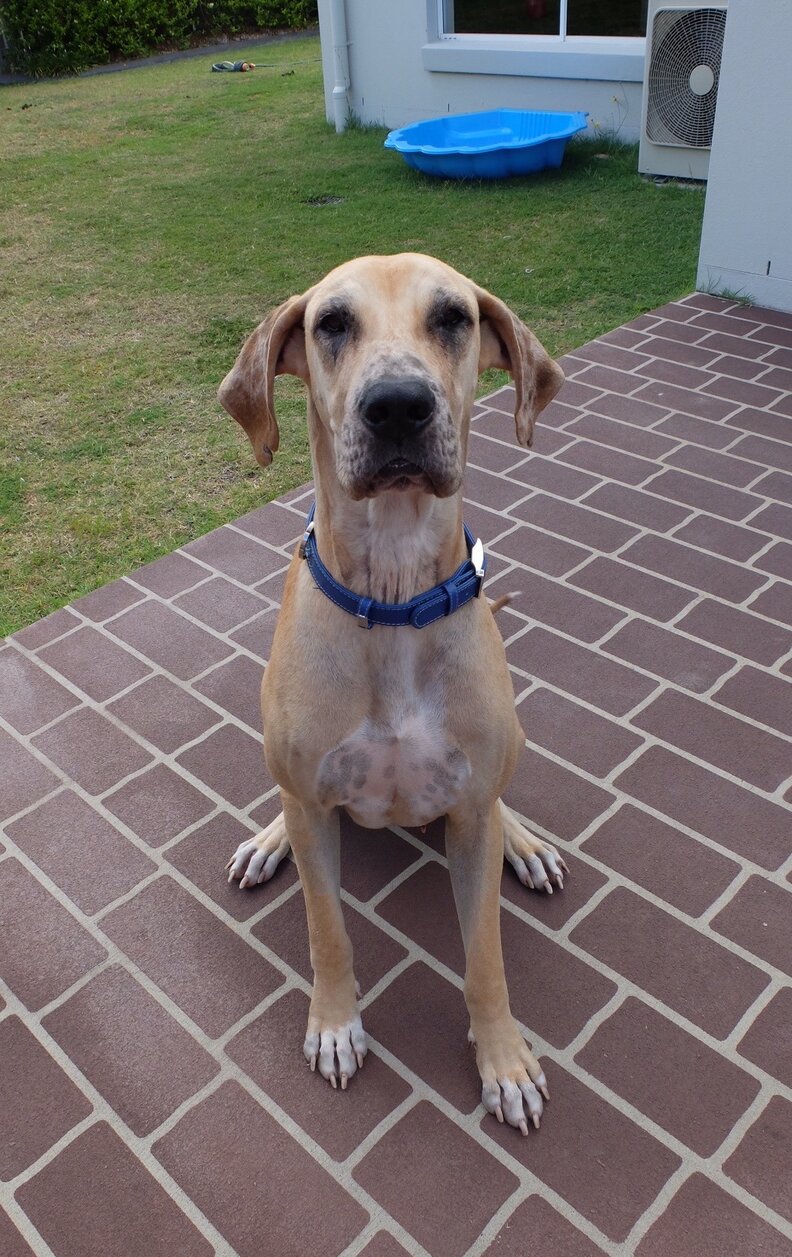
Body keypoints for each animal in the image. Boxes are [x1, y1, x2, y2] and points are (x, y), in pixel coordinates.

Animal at [219, 254, 568, 1133]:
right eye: (331, 323)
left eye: (452, 317)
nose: (399, 405)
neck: (394, 591)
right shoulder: (315, 810)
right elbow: (328, 932)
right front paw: (336, 1024)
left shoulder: (470, 815)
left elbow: (485, 957)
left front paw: (503, 1059)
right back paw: (265, 838)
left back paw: (527, 842)